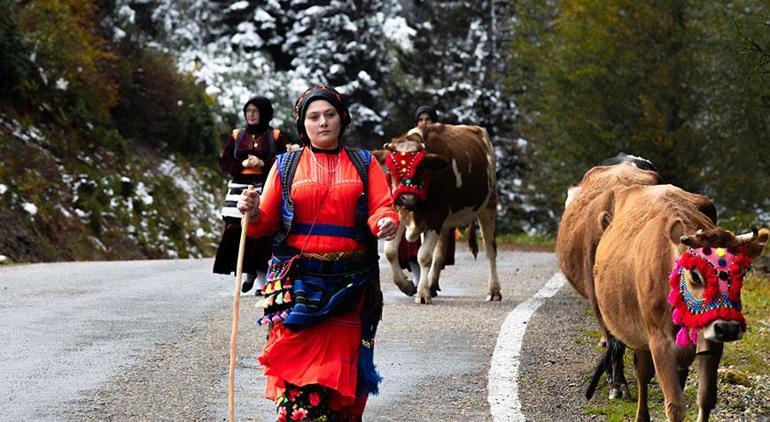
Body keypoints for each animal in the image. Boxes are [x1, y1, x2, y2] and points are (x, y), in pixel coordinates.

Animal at [374, 123, 498, 304]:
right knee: (439, 253)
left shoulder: (435, 217)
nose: (407, 197)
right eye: (392, 167)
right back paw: (431, 285)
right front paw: (407, 285)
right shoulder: (401, 211)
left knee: (490, 249)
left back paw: (494, 291)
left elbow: (424, 256)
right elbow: (390, 251)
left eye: (421, 167)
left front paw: (422, 294)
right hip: (446, 222)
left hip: (488, 205)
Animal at [592, 185, 764, 422]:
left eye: (743, 272)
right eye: (695, 275)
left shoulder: (712, 341)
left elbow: (706, 398)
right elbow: (674, 405)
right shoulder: (659, 340)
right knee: (642, 374)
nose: (728, 328)